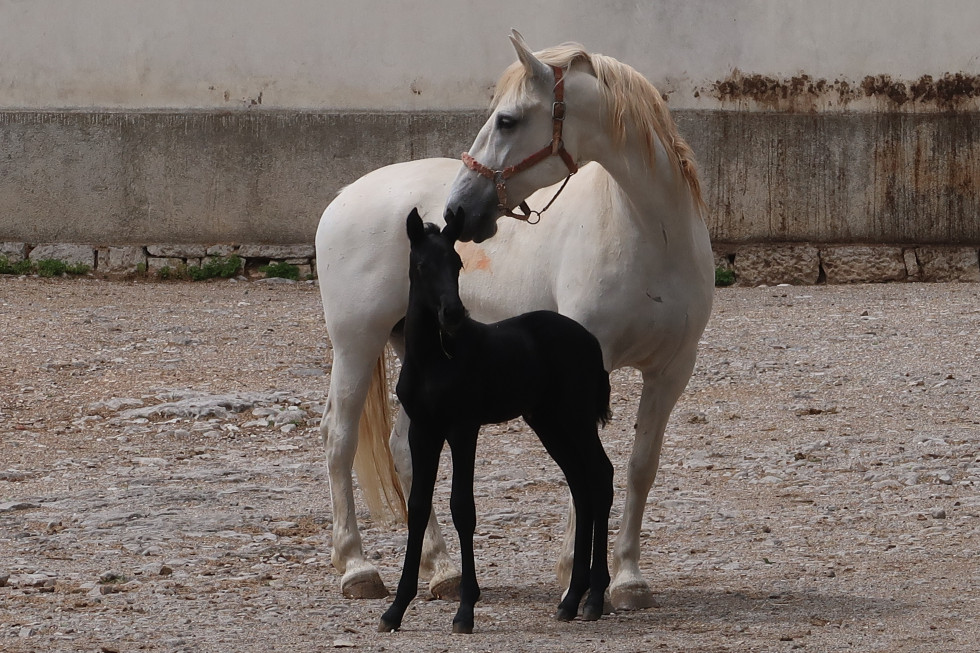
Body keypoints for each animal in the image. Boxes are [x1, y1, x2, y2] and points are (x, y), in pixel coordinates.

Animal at [378, 208, 612, 632]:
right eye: (421, 265)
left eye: (457, 263)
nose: (453, 314)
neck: (433, 360)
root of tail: (589, 340)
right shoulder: (424, 430)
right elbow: (417, 507)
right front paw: (395, 609)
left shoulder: (463, 428)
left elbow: (462, 508)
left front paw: (465, 610)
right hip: (548, 423)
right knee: (581, 486)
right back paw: (571, 600)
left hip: (577, 419)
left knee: (600, 477)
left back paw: (595, 598)